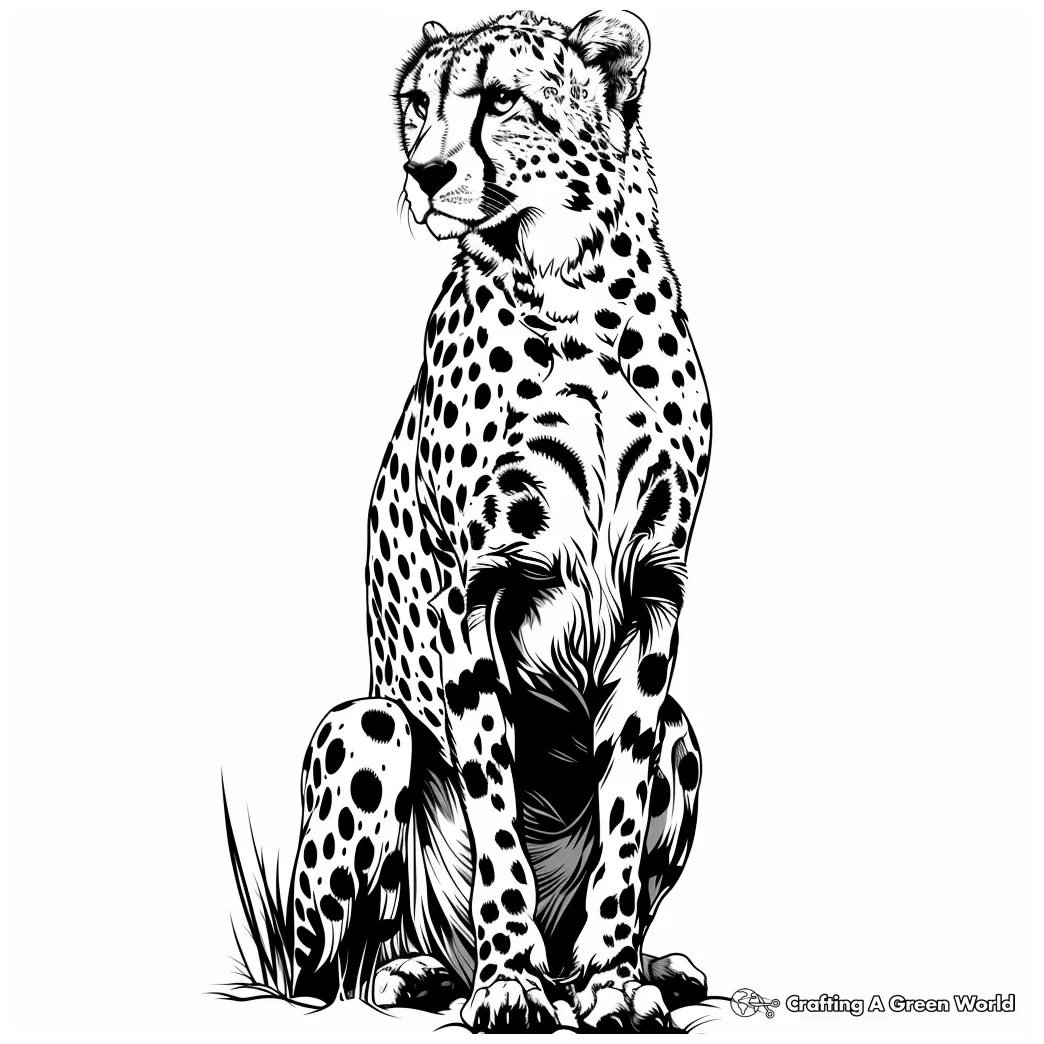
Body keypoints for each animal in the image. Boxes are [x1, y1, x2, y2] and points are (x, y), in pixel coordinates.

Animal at [287, 10, 713, 1032]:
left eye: (502, 99)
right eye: (416, 103)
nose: (425, 172)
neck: (573, 296)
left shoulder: (656, 594)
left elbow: (623, 801)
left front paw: (612, 981)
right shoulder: (472, 590)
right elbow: (494, 801)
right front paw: (508, 978)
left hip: (687, 734)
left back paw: (638, 964)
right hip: (370, 727)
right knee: (323, 966)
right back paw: (423, 970)